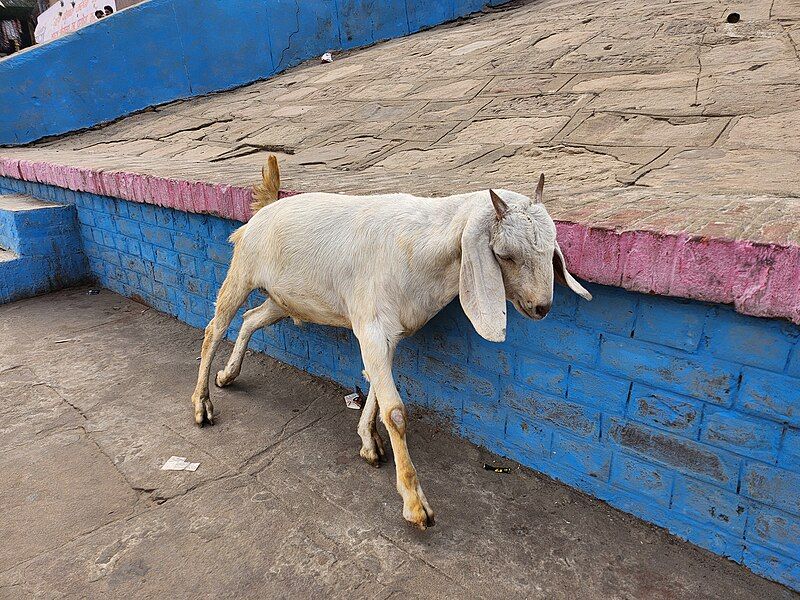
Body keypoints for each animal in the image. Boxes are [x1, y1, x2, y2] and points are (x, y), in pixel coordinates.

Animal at [191, 156, 592, 528]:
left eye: (551, 249)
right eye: (505, 255)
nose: (542, 306)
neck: (421, 246)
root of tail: (263, 209)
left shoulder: (391, 333)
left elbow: (375, 385)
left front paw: (368, 442)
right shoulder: (370, 324)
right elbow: (395, 410)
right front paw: (415, 504)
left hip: (283, 299)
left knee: (249, 319)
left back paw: (228, 375)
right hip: (242, 271)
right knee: (215, 328)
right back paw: (202, 405)